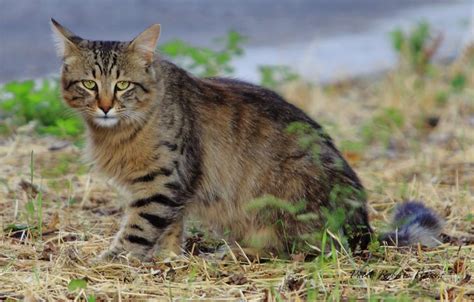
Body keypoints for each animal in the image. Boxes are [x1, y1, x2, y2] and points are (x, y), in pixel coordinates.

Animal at [50, 18, 442, 260]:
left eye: (122, 85)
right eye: (89, 84)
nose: (104, 106)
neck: (116, 132)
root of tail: (365, 231)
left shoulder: (161, 182)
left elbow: (139, 229)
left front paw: (112, 260)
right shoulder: (173, 187)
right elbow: (170, 228)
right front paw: (168, 257)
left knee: (299, 248)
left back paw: (234, 253)